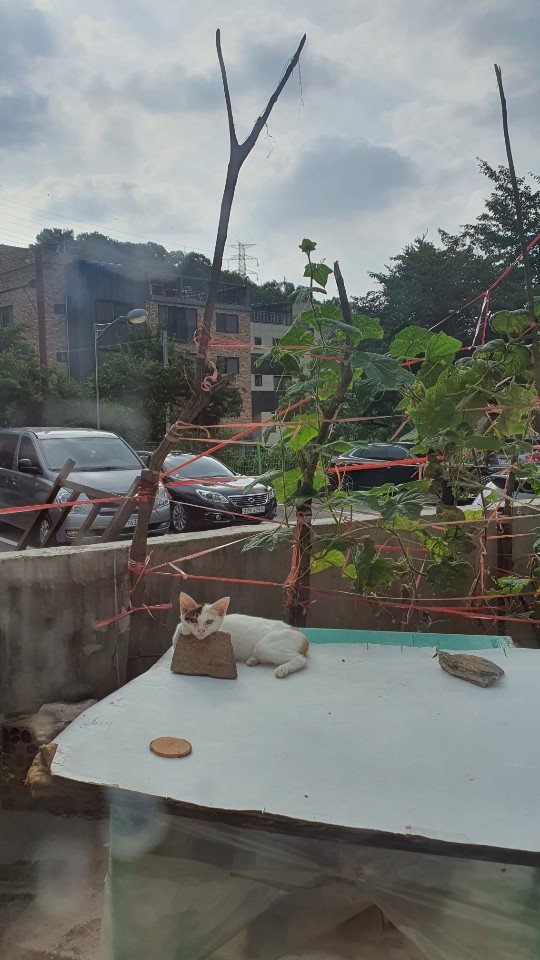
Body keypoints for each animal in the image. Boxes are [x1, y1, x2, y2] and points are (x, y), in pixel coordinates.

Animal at [173, 588, 308, 680]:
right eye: (194, 620)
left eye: (209, 621)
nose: (201, 630)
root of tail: (300, 633)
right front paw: (185, 628)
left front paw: (184, 628)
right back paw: (253, 659)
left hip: (266, 645)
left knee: (301, 660)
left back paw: (283, 669)